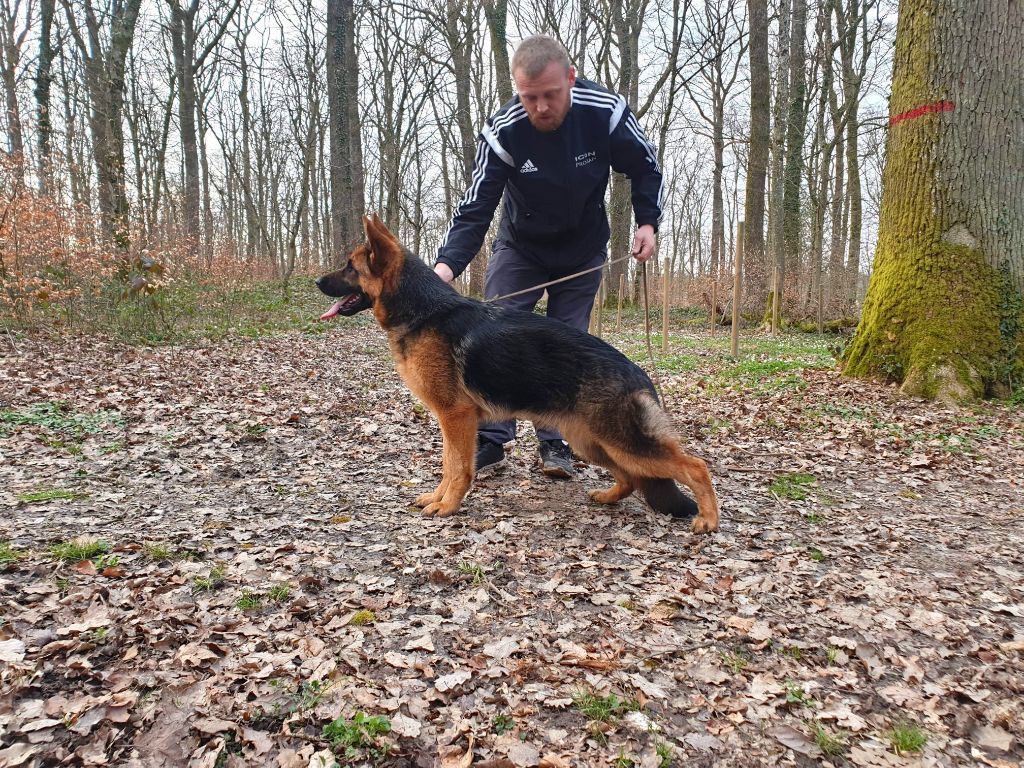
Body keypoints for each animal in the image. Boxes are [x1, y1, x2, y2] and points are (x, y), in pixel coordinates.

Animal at [319, 217, 720, 536]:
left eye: (349, 267)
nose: (317, 282)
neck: (425, 311)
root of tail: (637, 372)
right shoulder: (453, 421)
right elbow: (449, 464)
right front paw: (438, 497)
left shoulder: (455, 417)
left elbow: (457, 466)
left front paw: (448, 506)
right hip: (592, 442)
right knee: (632, 477)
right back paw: (608, 496)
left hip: (621, 441)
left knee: (695, 467)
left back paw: (709, 520)